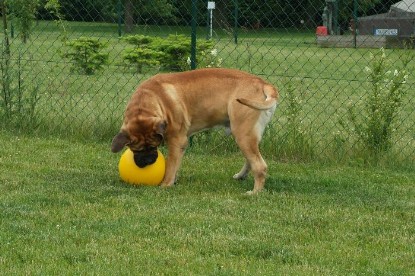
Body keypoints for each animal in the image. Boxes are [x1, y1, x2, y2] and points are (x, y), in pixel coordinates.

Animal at [110, 68, 280, 194]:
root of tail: (263, 83)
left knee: (260, 166)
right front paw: (174, 179)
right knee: (251, 159)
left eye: (153, 146)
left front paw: (166, 184)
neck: (150, 101)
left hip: (243, 134)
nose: (148, 161)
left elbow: (171, 164)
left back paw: (255, 192)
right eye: (136, 149)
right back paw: (241, 176)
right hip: (246, 135)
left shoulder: (177, 141)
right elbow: (175, 163)